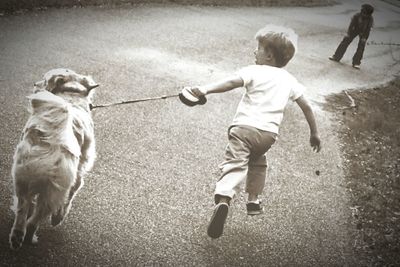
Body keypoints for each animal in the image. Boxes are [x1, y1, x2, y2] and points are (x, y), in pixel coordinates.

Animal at [9, 68, 98, 250]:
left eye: (44, 80)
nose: (35, 84)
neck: (71, 95)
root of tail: (51, 143)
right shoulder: (78, 176)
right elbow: (70, 198)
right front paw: (58, 218)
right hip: (54, 190)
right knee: (33, 220)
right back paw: (29, 237)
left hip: (23, 178)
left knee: (23, 211)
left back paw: (17, 237)